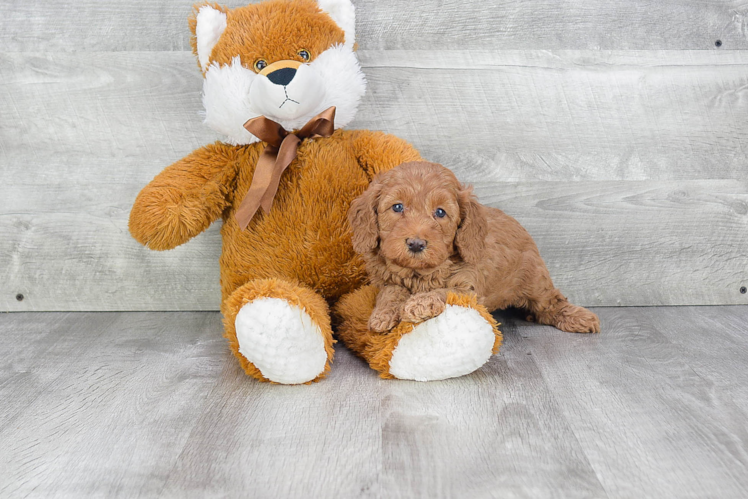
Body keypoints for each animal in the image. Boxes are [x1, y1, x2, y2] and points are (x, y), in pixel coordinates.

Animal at [348, 160, 600, 334]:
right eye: (397, 207)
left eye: (440, 212)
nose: (416, 244)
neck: (419, 273)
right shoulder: (386, 279)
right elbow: (391, 292)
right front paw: (382, 314)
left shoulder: (469, 288)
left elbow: (444, 291)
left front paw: (419, 302)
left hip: (535, 281)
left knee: (551, 303)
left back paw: (580, 318)